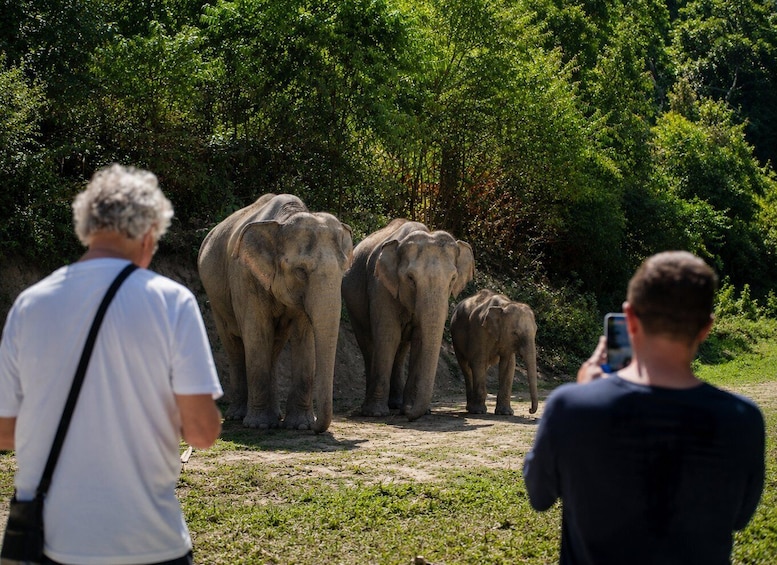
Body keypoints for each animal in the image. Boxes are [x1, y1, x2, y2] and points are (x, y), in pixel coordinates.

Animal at [197, 194, 353, 433]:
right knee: (234, 345)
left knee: (275, 345)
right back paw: (238, 416)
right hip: (216, 299)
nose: (317, 427)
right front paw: (259, 425)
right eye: (300, 271)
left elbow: (304, 337)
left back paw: (275, 415)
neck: (283, 220)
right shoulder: (245, 276)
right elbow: (257, 332)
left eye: (344, 271)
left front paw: (300, 425)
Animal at [342, 219, 475, 421]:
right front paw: (376, 413)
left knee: (401, 350)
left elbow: (420, 339)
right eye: (410, 278)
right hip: (352, 306)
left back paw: (396, 404)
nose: (409, 413)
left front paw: (414, 409)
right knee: (368, 344)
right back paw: (372, 408)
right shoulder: (380, 286)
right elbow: (388, 336)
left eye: (453, 278)